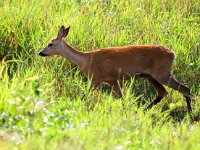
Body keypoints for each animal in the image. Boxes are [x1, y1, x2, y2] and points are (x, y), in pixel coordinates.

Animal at [39, 25, 192, 111]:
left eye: (50, 44)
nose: (41, 52)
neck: (86, 60)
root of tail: (173, 54)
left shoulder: (96, 78)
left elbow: (85, 95)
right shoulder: (113, 80)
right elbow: (122, 98)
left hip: (162, 73)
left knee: (185, 89)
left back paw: (190, 113)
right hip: (151, 76)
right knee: (162, 92)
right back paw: (144, 110)